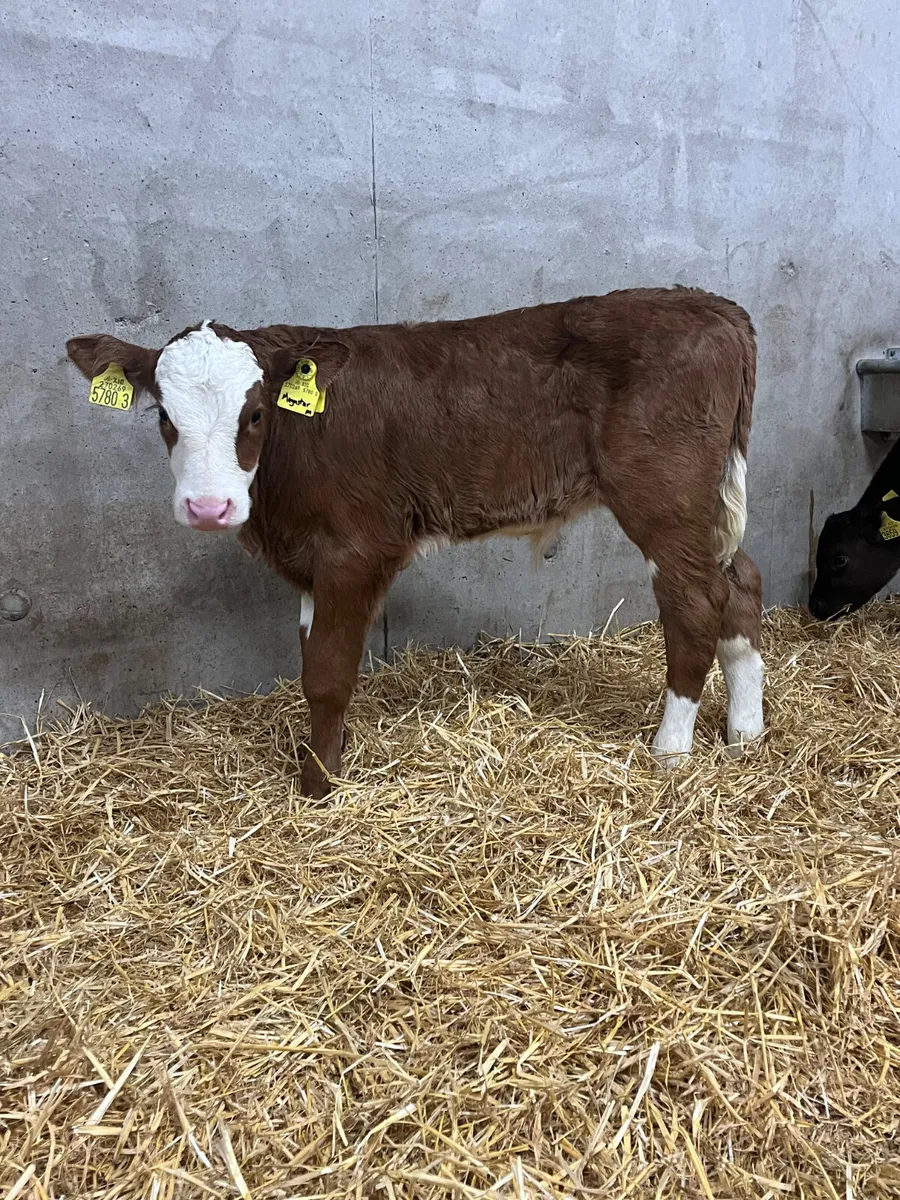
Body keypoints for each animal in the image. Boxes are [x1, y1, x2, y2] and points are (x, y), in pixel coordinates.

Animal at [67, 287, 765, 797]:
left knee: (695, 604)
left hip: (663, 497)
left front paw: (318, 786)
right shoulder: (311, 564)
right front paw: (327, 752)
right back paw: (746, 735)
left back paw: (669, 752)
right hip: (707, 505)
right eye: (164, 416)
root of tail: (710, 305)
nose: (209, 508)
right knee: (740, 586)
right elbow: (310, 658)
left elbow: (327, 672)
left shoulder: (354, 548)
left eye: (256, 413)